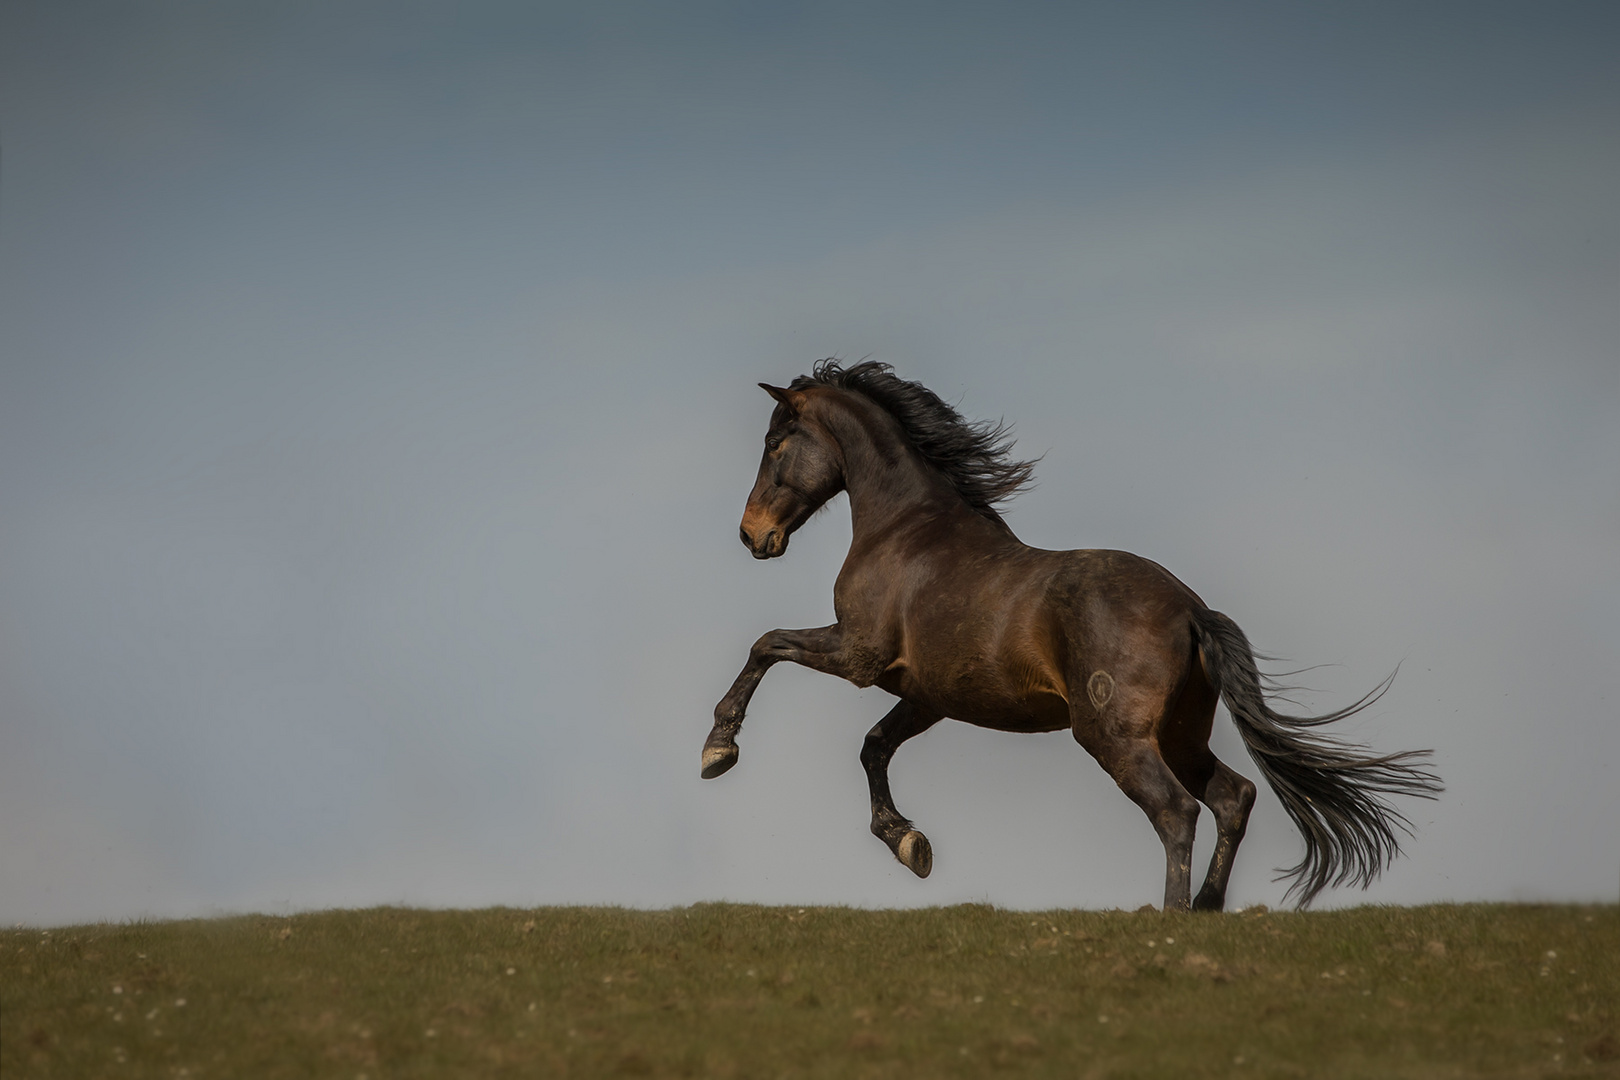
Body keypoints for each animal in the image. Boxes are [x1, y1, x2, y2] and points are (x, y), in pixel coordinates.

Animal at [703, 359, 1438, 906]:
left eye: (774, 444)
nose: (750, 535)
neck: (905, 532)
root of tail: (1190, 610)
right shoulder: (930, 695)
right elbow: (873, 747)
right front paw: (910, 844)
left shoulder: (858, 655)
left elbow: (766, 644)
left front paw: (718, 750)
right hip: (1179, 735)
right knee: (1235, 797)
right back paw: (1207, 909)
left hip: (1114, 737)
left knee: (1178, 812)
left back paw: (1172, 917)